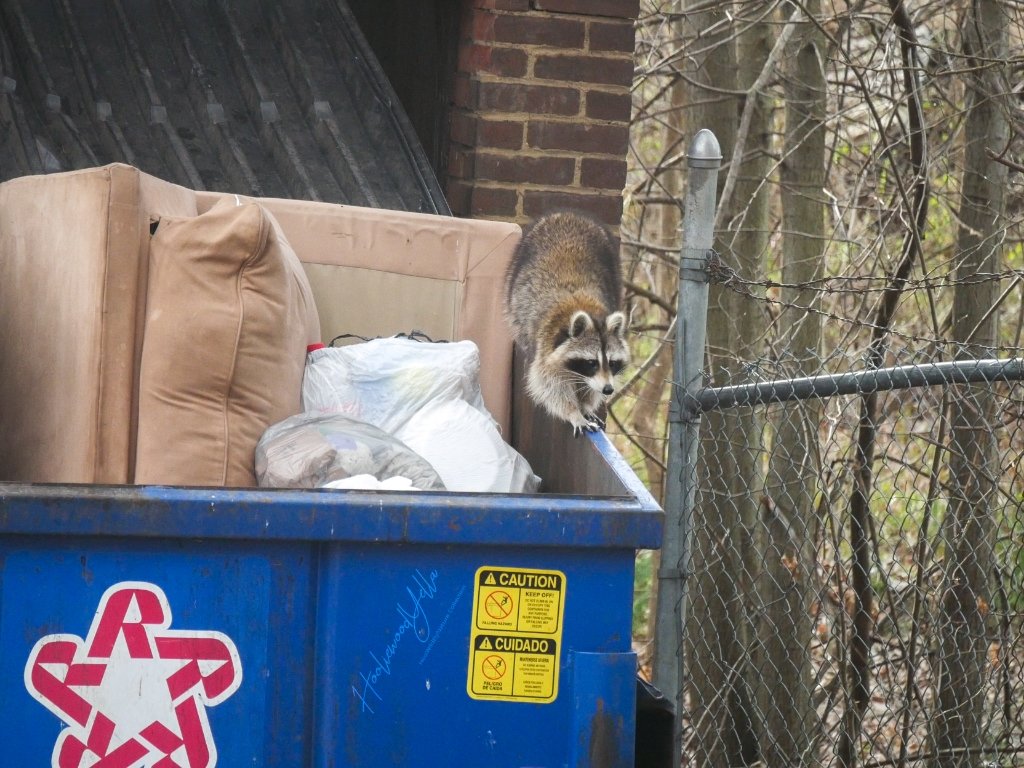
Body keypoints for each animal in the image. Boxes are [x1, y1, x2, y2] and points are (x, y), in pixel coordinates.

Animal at [501, 211, 626, 434]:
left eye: (612, 362)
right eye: (591, 362)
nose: (608, 389)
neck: (590, 312)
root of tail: (569, 214)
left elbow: (588, 388)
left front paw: (585, 405)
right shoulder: (546, 348)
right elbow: (549, 386)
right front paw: (573, 412)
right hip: (514, 278)